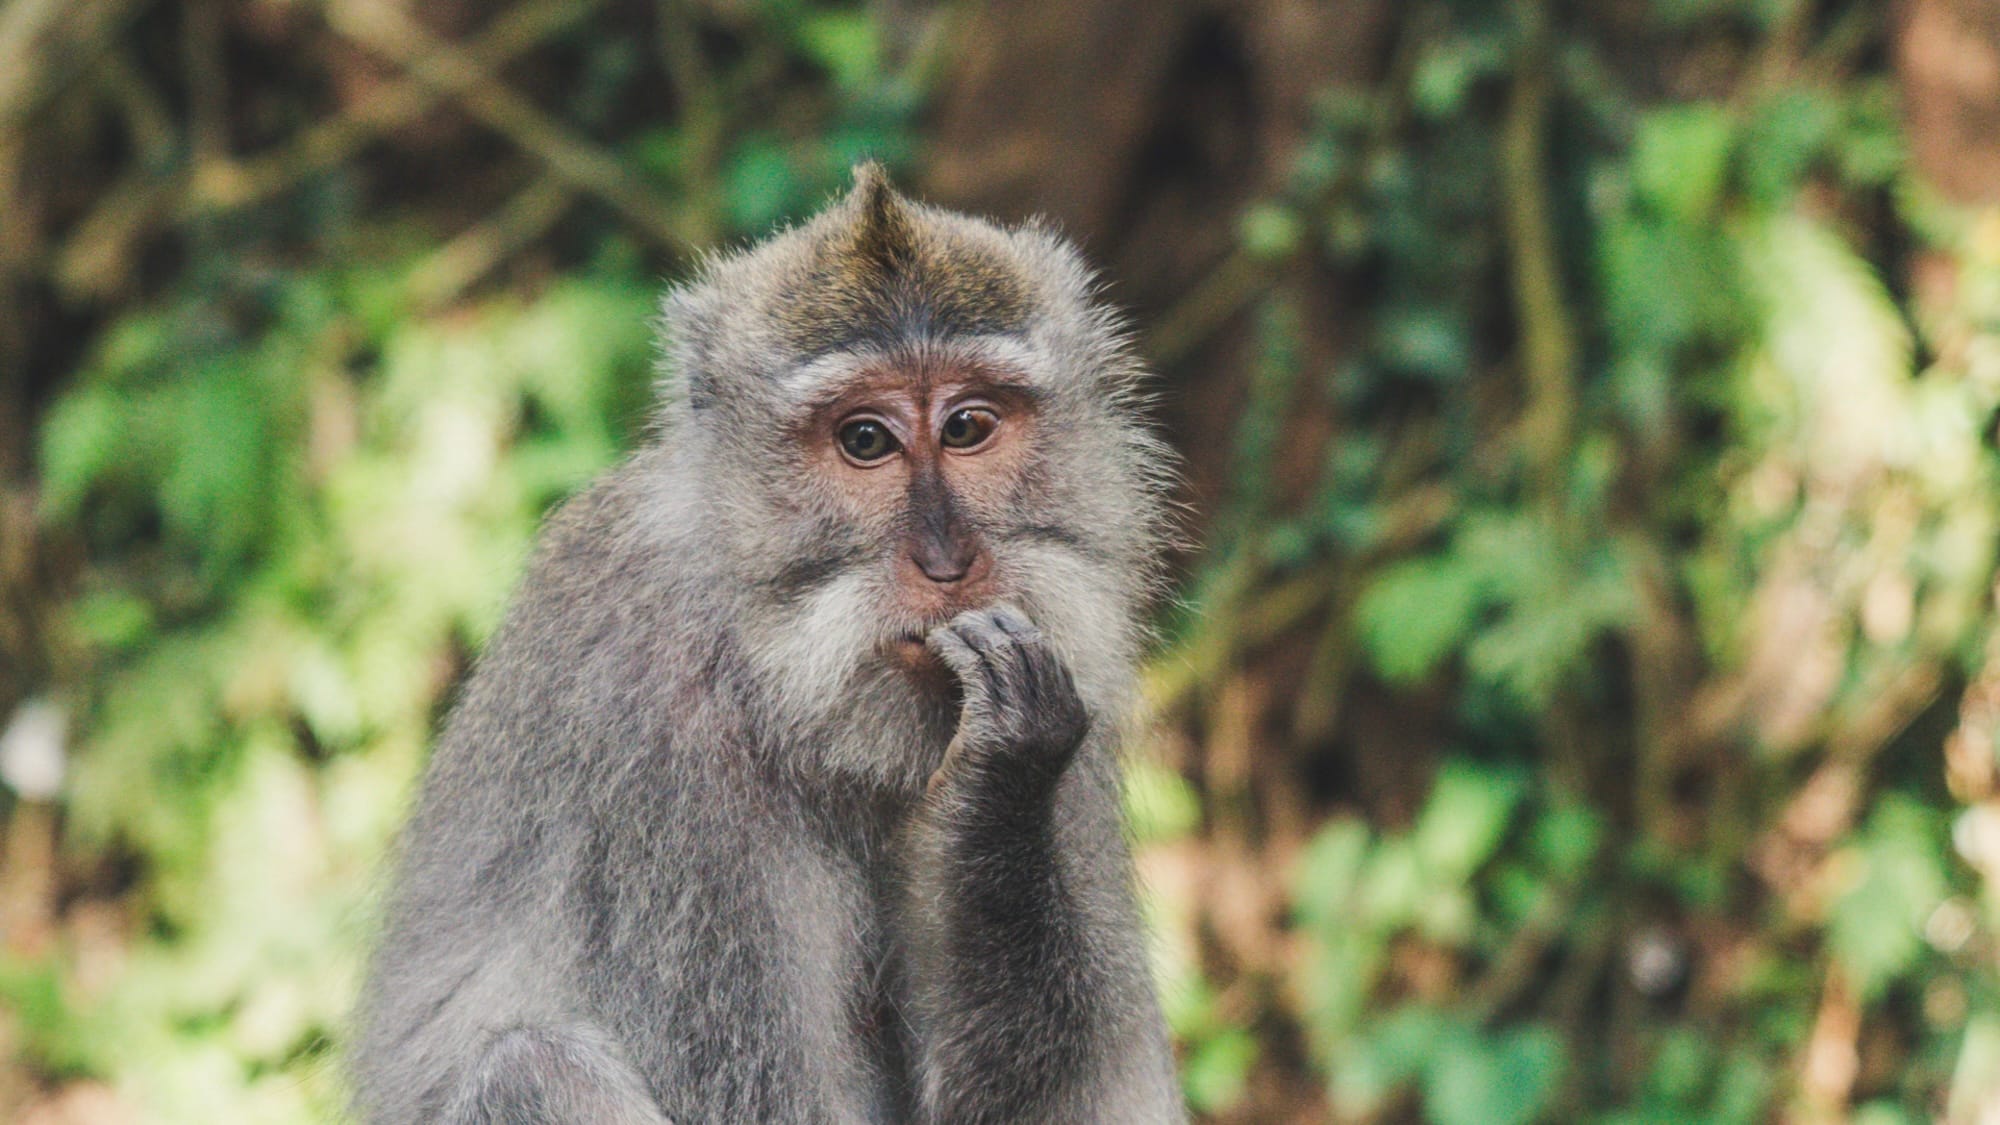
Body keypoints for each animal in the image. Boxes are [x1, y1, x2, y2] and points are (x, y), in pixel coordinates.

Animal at [349, 164, 1185, 1124]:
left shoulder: (1066, 668)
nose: (949, 561)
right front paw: (1001, 770)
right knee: (533, 1067)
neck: (771, 674)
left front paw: (997, 789)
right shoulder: (662, 748)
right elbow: (764, 1103)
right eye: (865, 439)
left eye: (969, 426)